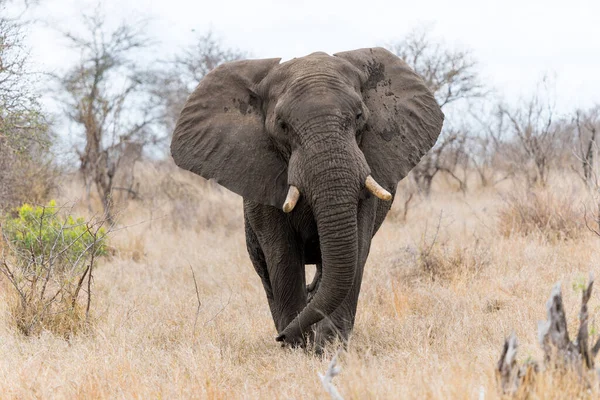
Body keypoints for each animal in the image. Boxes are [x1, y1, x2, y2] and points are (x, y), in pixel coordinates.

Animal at [171, 47, 442, 350]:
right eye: (282, 125)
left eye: (359, 116)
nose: (280, 337)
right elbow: (282, 254)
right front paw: (298, 347)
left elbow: (357, 247)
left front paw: (329, 347)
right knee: (265, 271)